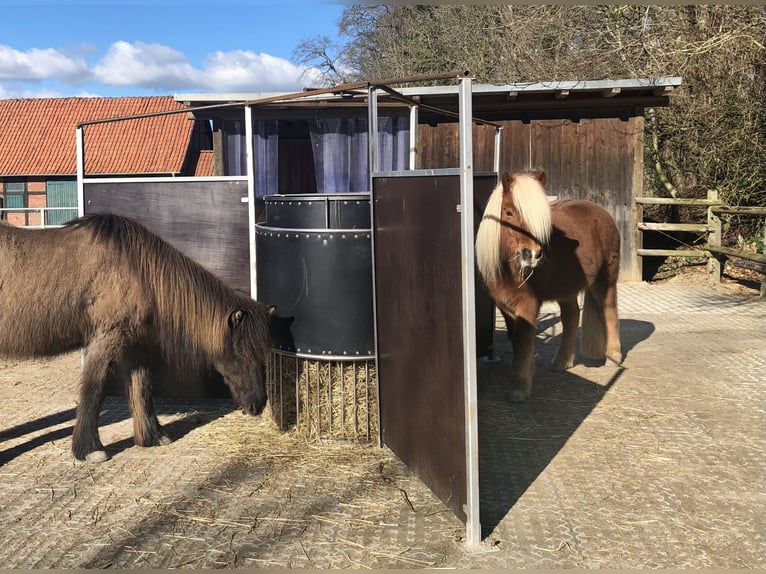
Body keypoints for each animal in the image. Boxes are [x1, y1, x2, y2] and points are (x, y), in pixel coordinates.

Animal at [0, 213, 273, 462]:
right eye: (241, 352)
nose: (258, 404)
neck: (135, 271)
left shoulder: (133, 346)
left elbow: (142, 388)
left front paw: (153, 436)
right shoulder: (106, 340)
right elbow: (94, 390)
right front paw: (90, 449)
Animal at [475, 171, 622, 403]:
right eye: (508, 212)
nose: (532, 254)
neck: (509, 270)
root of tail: (603, 213)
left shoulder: (528, 304)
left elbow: (523, 342)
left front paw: (520, 388)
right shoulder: (505, 306)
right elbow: (515, 340)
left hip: (604, 281)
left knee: (609, 313)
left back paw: (614, 357)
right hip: (567, 289)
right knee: (571, 317)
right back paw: (562, 361)